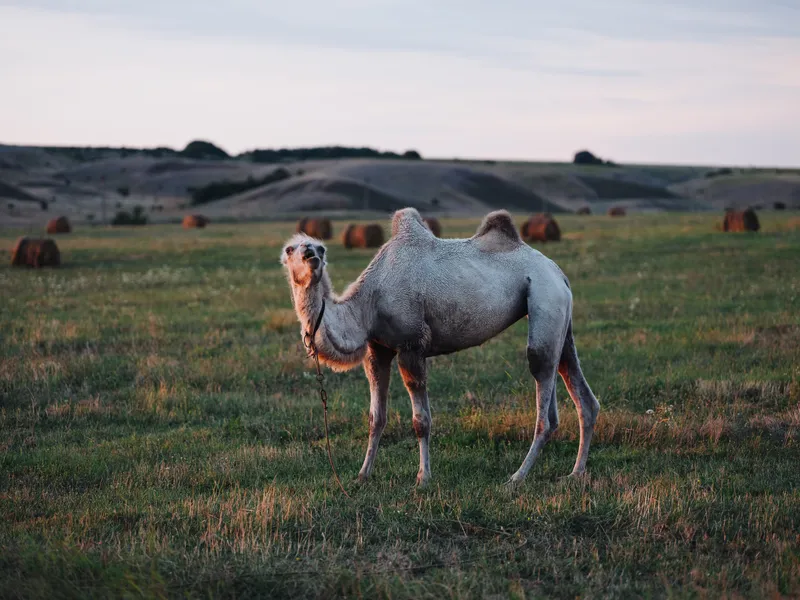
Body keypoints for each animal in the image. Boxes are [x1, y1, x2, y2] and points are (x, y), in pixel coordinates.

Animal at [281, 208, 600, 487]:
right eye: (290, 249)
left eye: (321, 248)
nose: (311, 255)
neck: (368, 304)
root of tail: (558, 272)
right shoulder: (377, 350)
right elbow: (376, 418)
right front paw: (362, 475)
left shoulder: (412, 345)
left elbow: (421, 421)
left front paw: (423, 478)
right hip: (560, 320)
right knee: (581, 394)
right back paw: (575, 473)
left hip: (545, 298)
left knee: (544, 396)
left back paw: (517, 477)